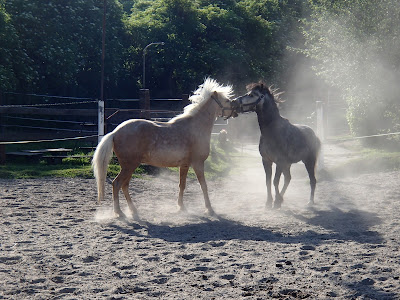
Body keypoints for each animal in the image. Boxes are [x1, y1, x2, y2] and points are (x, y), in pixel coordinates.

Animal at [91, 77, 234, 218]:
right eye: (227, 100)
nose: (236, 109)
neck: (196, 127)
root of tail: (115, 132)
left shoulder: (185, 165)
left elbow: (182, 185)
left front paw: (181, 207)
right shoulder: (198, 163)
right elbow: (203, 186)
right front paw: (209, 209)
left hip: (129, 167)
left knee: (124, 186)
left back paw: (133, 210)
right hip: (129, 166)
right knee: (117, 184)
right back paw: (119, 212)